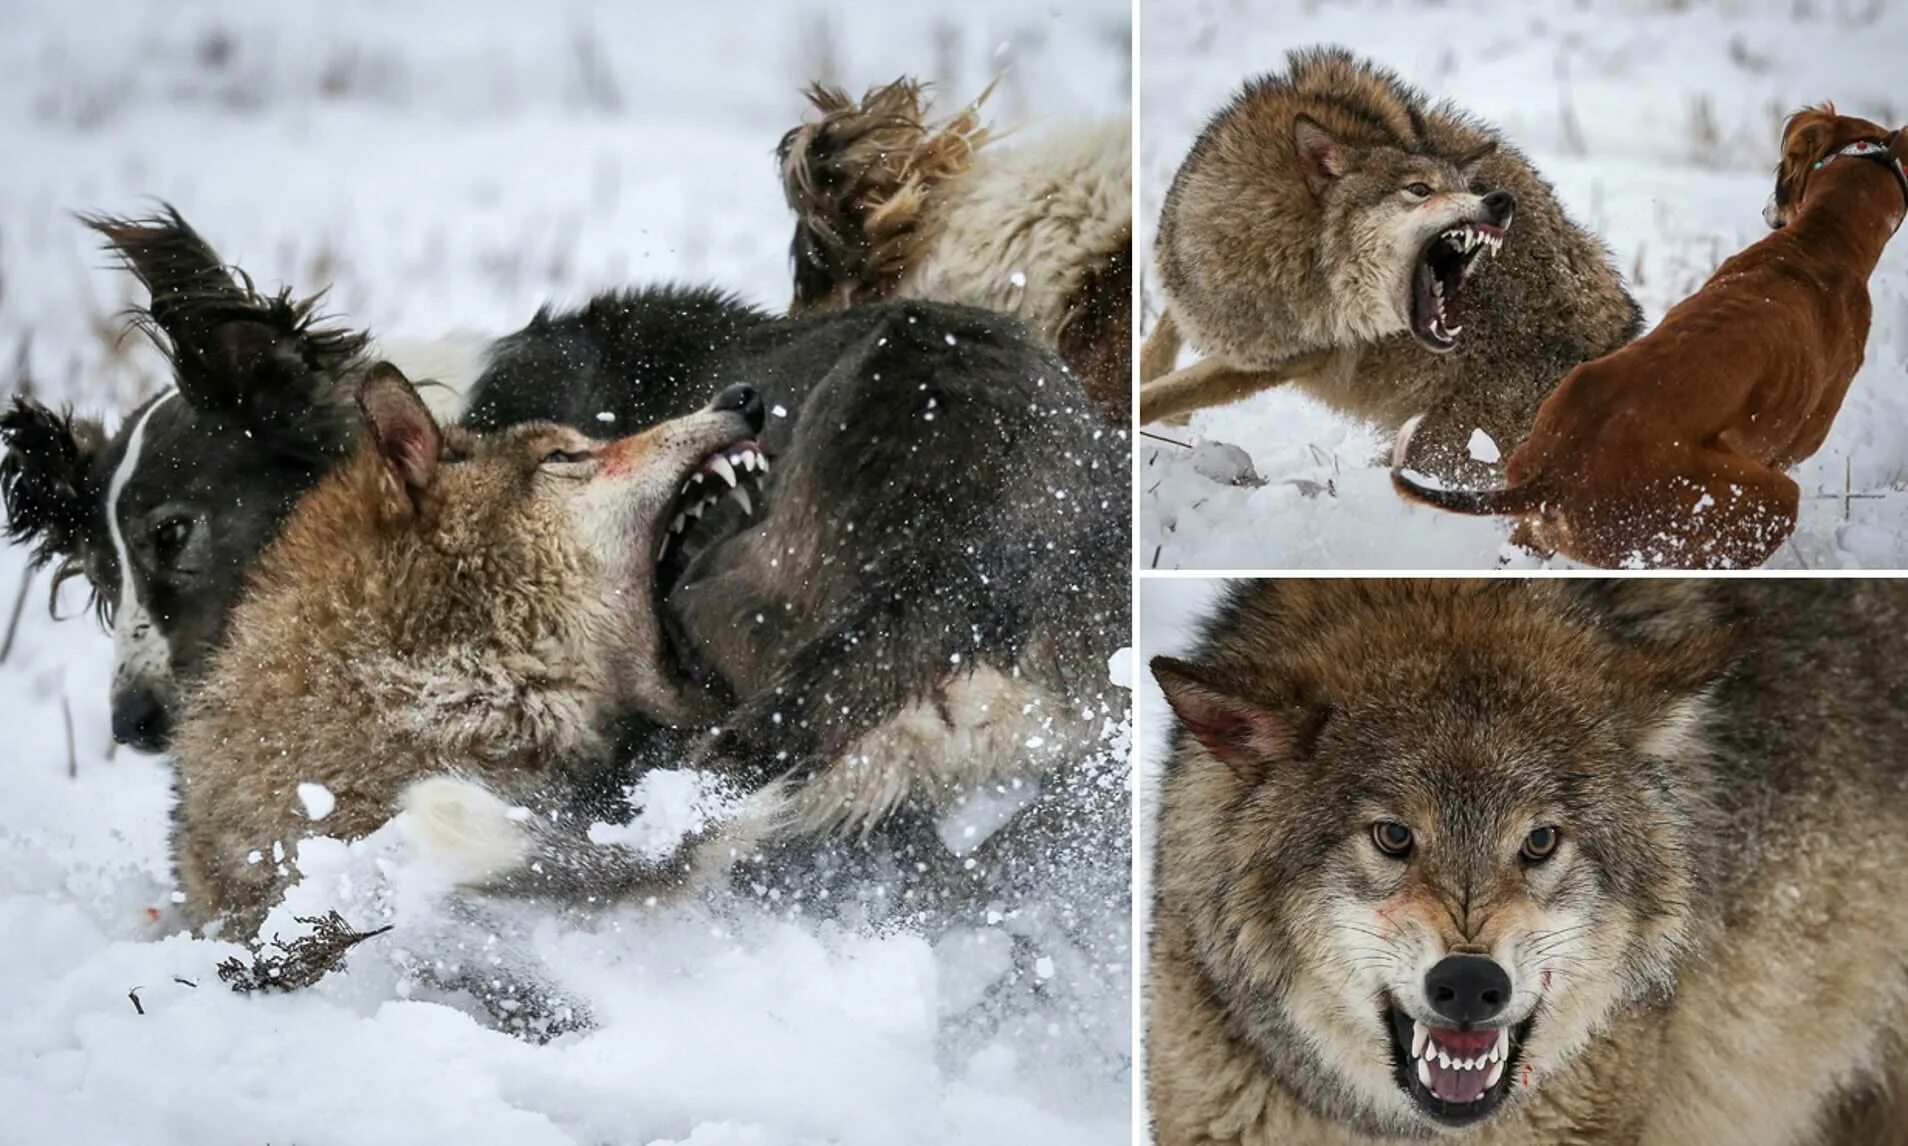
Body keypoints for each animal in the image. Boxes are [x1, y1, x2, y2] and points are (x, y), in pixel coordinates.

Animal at [1129, 48, 1640, 478]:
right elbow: (1160, 345)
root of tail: (1622, 339)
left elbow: (1162, 392)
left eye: (1464, 188)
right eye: (1420, 190)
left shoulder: (1269, 363)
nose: (1500, 201)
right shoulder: (1188, 281)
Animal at [1389, 107, 1908, 568]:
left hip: (1537, 522)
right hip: (1760, 501)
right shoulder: (1795, 444)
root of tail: (1557, 473)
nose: (1768, 210)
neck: (1818, 244)